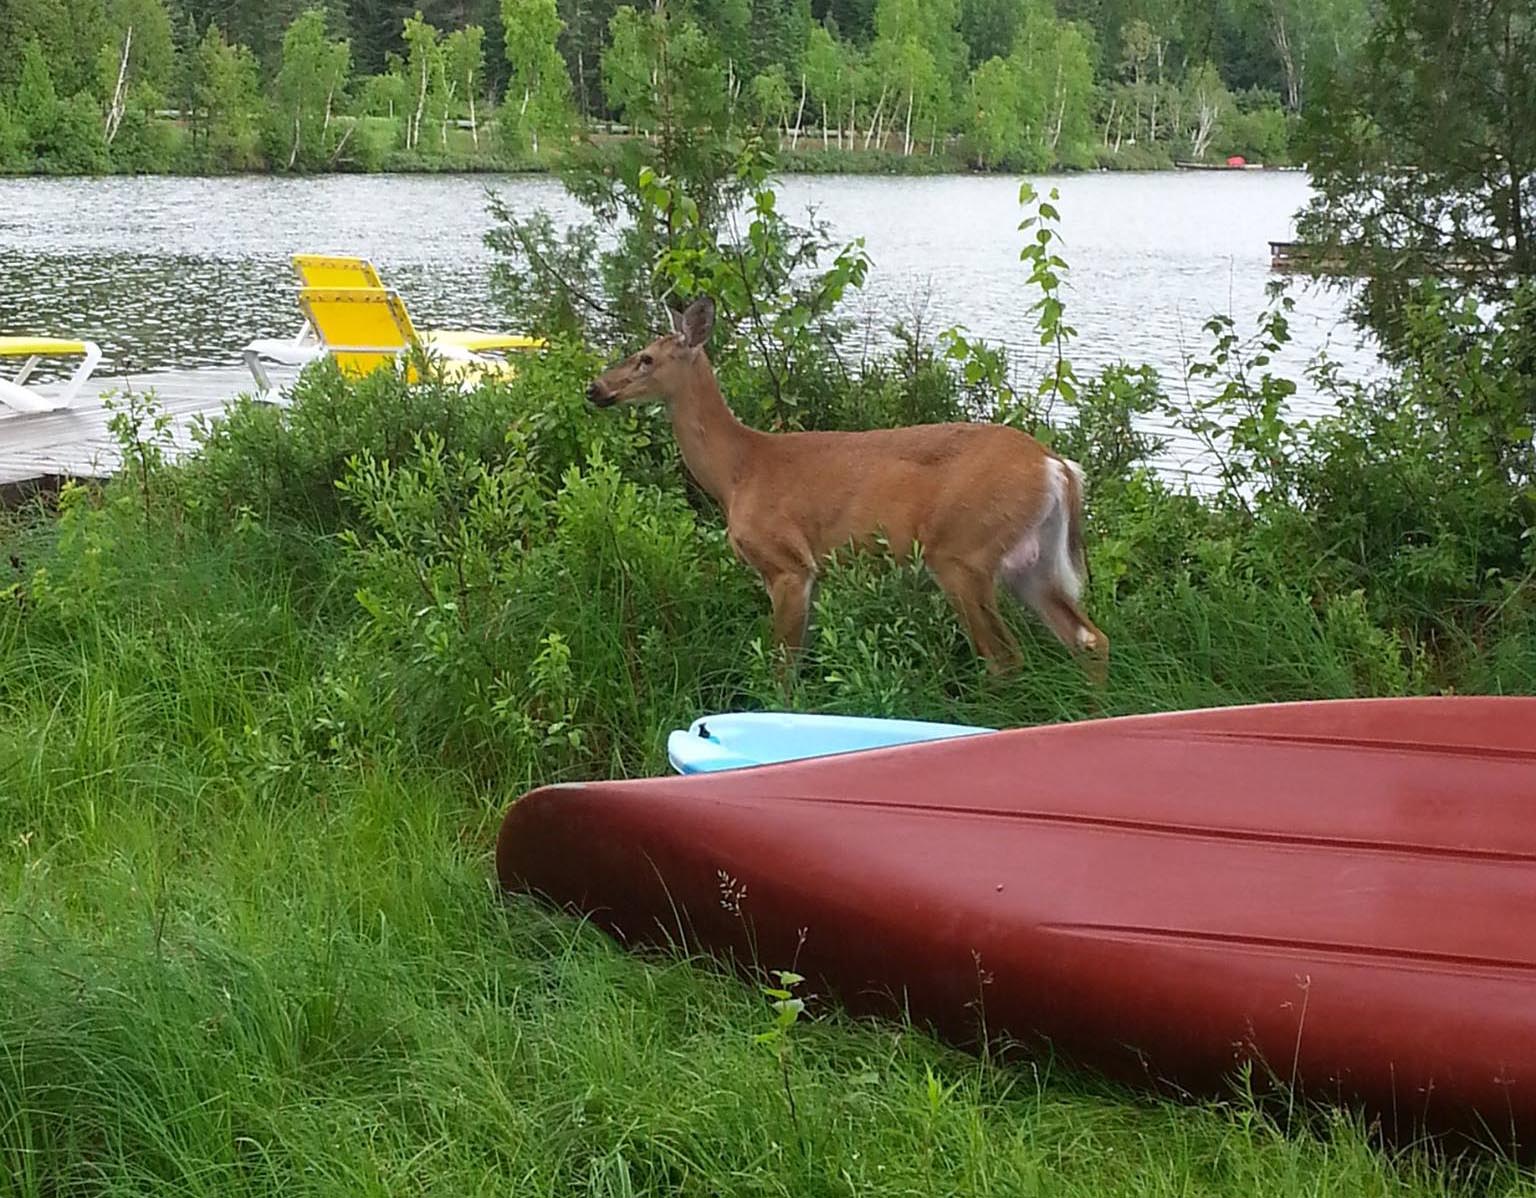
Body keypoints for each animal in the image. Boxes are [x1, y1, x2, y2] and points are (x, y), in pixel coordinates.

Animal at [583, 296, 1105, 681]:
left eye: (646, 358)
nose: (595, 388)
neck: (739, 471)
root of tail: (1055, 466)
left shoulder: (787, 564)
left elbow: (783, 668)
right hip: (1028, 558)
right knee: (1088, 640)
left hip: (962, 550)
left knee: (1005, 658)